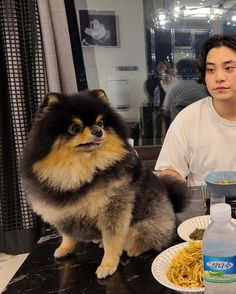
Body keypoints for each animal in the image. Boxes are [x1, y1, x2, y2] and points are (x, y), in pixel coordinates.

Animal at [21, 89, 187, 278]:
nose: (98, 131)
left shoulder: (113, 209)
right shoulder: (61, 211)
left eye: (100, 122)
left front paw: (107, 265)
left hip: (147, 225)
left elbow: (111, 241)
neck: (81, 170)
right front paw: (65, 248)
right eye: (75, 128)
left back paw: (135, 248)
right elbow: (67, 235)